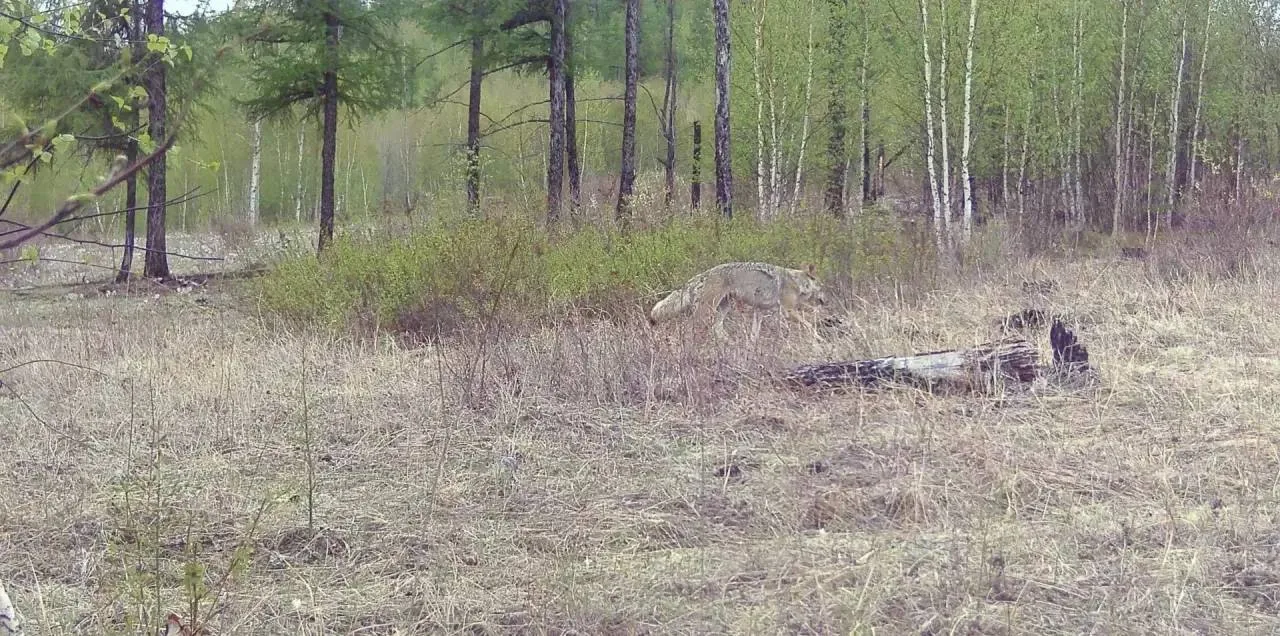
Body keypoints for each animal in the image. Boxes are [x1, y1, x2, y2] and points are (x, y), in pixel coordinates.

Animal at [647, 261, 827, 339]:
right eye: (822, 287)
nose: (826, 300)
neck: (798, 283)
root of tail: (702, 275)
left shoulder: (759, 311)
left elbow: (754, 335)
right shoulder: (788, 311)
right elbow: (810, 326)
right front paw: (819, 341)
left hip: (724, 308)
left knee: (717, 329)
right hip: (706, 311)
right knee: (688, 328)